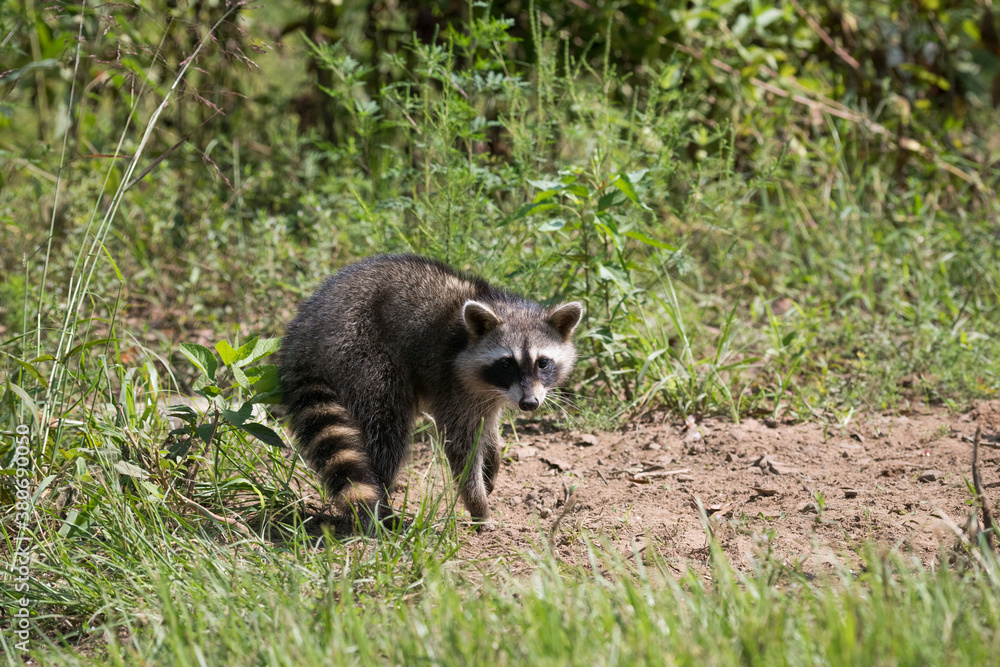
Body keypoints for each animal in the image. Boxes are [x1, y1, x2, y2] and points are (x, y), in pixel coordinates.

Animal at [280, 254, 582, 529]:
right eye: (506, 363)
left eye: (543, 363)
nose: (529, 403)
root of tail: (303, 337)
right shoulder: (451, 384)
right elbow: (462, 446)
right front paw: (478, 506)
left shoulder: (489, 396)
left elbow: (487, 427)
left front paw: (492, 459)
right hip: (361, 354)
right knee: (386, 429)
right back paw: (383, 504)